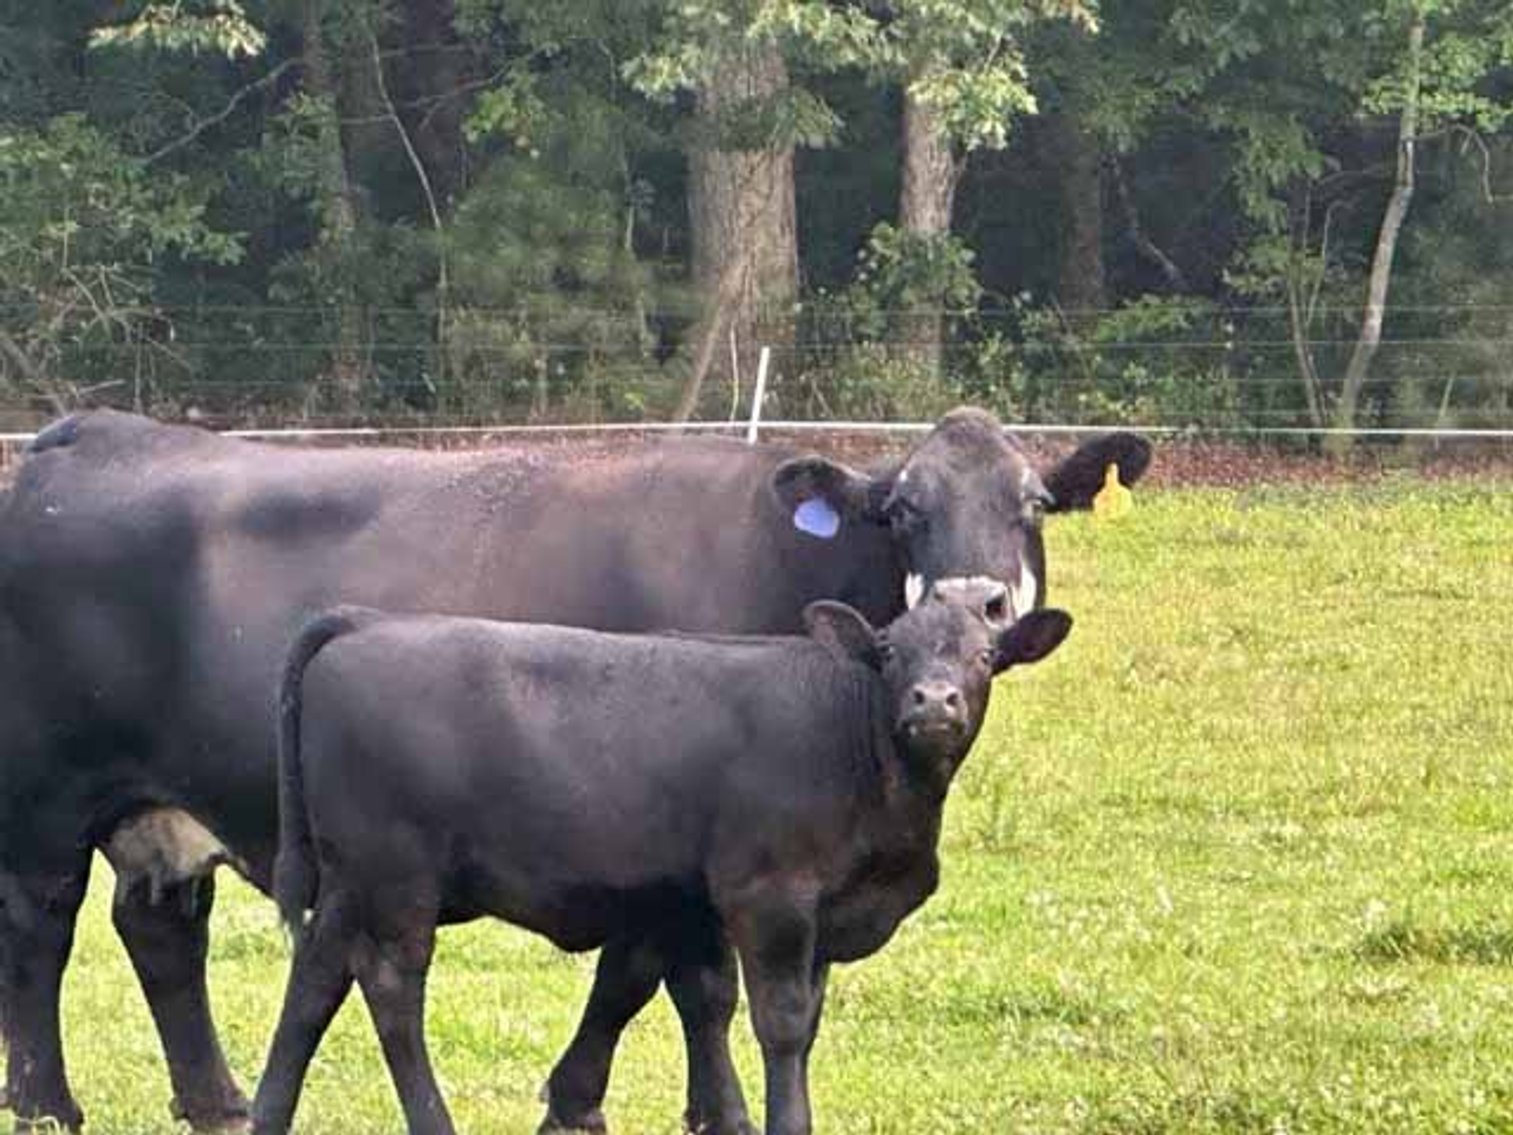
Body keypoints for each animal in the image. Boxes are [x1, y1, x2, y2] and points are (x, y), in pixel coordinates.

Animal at [250, 583, 1073, 1135]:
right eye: (892, 652)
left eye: (983, 656)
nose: (933, 702)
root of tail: (371, 621)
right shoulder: (769, 896)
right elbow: (776, 1021)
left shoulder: (730, 906)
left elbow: (730, 1006)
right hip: (399, 877)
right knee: (391, 986)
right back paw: (432, 1120)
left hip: (352, 879)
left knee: (315, 979)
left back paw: (268, 1113)